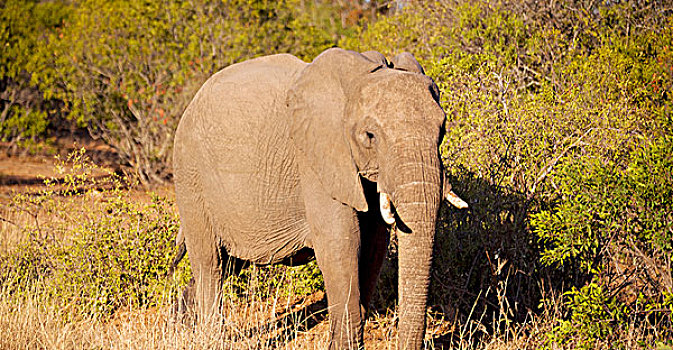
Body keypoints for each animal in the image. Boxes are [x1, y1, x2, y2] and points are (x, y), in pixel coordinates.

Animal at [173, 47, 468, 350]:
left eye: (442, 130)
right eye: (370, 136)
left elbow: (374, 244)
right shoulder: (315, 158)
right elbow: (341, 242)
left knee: (227, 263)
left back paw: (183, 324)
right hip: (190, 176)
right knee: (210, 264)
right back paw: (209, 338)